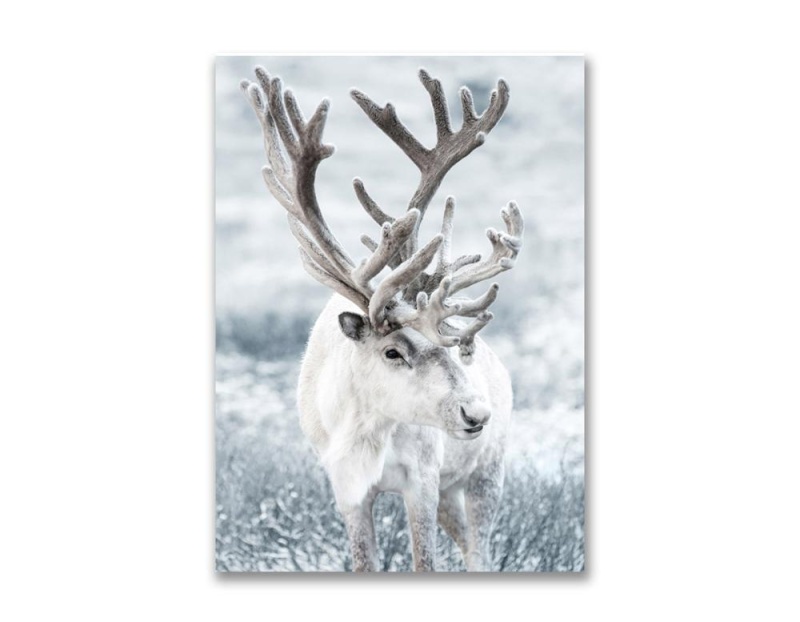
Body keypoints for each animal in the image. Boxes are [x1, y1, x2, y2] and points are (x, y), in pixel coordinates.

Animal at [240, 65, 524, 572]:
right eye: (392, 351)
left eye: (450, 345)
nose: (476, 412)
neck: (365, 434)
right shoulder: (346, 490)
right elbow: (363, 561)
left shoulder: (424, 480)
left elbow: (425, 562)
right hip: (454, 490)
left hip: (486, 471)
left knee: (480, 553)